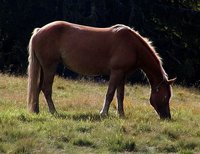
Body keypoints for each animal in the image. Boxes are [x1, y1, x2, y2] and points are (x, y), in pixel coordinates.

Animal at [27, 20, 176, 119]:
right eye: (165, 97)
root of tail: (39, 31)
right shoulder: (116, 72)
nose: (167, 117)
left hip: (43, 68)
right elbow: (110, 94)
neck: (133, 46)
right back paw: (53, 111)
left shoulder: (123, 75)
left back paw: (36, 111)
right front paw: (103, 113)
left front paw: (121, 114)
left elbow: (120, 95)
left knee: (38, 88)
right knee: (46, 89)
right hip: (49, 66)